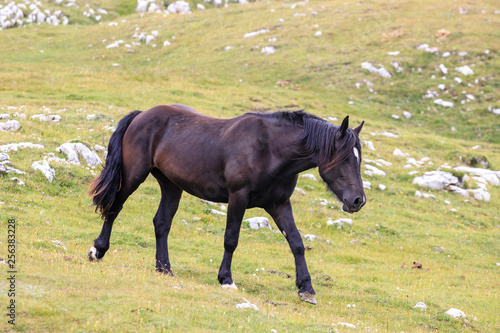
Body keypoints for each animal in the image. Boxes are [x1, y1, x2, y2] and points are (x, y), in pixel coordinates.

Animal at [88, 104, 366, 304]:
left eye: (358, 158)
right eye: (344, 158)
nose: (358, 200)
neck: (270, 149)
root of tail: (142, 115)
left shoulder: (279, 204)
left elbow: (296, 243)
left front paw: (306, 288)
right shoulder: (238, 198)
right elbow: (231, 239)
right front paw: (226, 279)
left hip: (171, 186)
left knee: (162, 223)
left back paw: (164, 268)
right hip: (133, 176)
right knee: (114, 209)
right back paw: (97, 250)